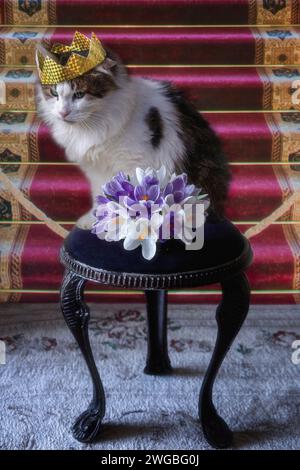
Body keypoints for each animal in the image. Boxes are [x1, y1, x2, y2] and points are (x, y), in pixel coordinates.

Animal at [35, 46, 230, 229]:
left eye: (79, 95)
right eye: (54, 93)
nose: (62, 113)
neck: (93, 124)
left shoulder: (134, 163)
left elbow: (129, 198)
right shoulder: (96, 170)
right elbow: (100, 194)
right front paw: (95, 219)